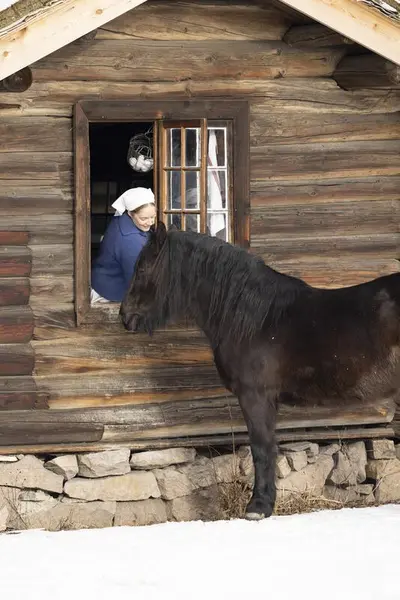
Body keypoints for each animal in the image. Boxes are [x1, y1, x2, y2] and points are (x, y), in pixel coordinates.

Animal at [120, 224, 400, 520]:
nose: (124, 316)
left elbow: (261, 448)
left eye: (142, 268)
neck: (258, 319)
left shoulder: (255, 396)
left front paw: (258, 506)